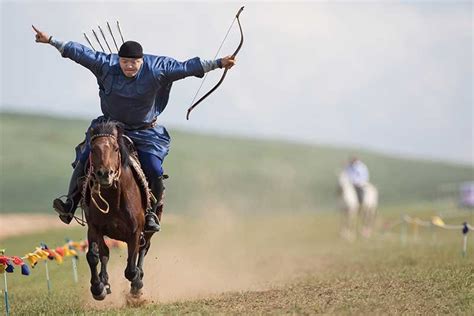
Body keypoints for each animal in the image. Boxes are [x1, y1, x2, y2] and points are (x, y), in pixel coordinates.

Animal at [82, 121, 156, 298]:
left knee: (143, 250)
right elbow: (94, 256)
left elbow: (131, 269)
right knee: (104, 254)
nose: (104, 174)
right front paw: (98, 287)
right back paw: (105, 282)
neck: (114, 200)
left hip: (147, 233)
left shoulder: (135, 232)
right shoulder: (94, 228)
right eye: (93, 149)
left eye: (115, 148)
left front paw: (137, 283)